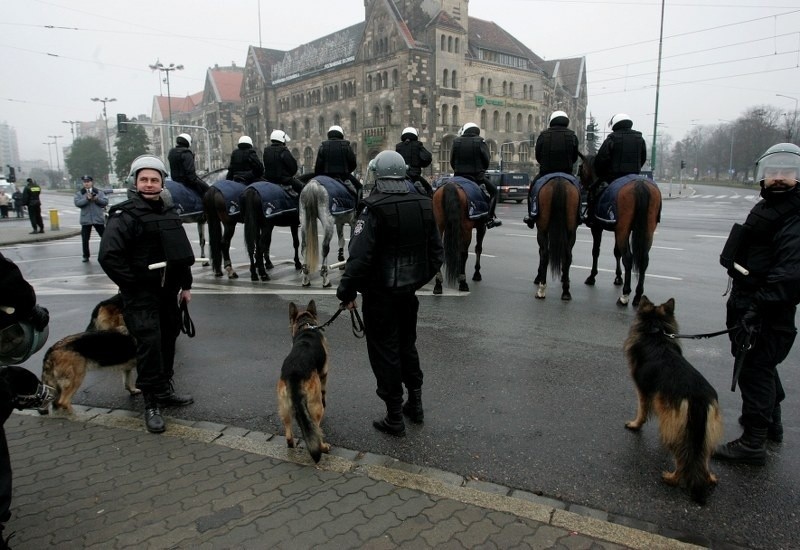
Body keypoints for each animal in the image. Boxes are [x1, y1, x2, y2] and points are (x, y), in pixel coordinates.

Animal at [278, 302, 332, 466]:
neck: (306, 326)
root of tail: (295, 373)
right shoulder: (324, 374)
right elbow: (324, 393)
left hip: (284, 407)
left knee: (289, 434)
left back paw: (291, 444)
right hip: (315, 406)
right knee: (315, 428)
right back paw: (323, 447)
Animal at [580, 155, 660, 308]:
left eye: (580, 168)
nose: (582, 187)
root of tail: (640, 184)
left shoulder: (597, 228)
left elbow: (596, 251)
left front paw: (592, 276)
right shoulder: (618, 230)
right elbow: (616, 252)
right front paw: (618, 277)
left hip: (622, 230)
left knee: (628, 258)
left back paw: (625, 295)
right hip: (647, 231)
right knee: (644, 259)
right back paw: (638, 295)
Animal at [624, 298, 724, 504]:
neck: (656, 333)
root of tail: (697, 397)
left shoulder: (642, 389)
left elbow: (642, 410)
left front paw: (635, 425)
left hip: (678, 429)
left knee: (683, 458)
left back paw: (672, 478)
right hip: (705, 434)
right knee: (703, 458)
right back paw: (709, 478)